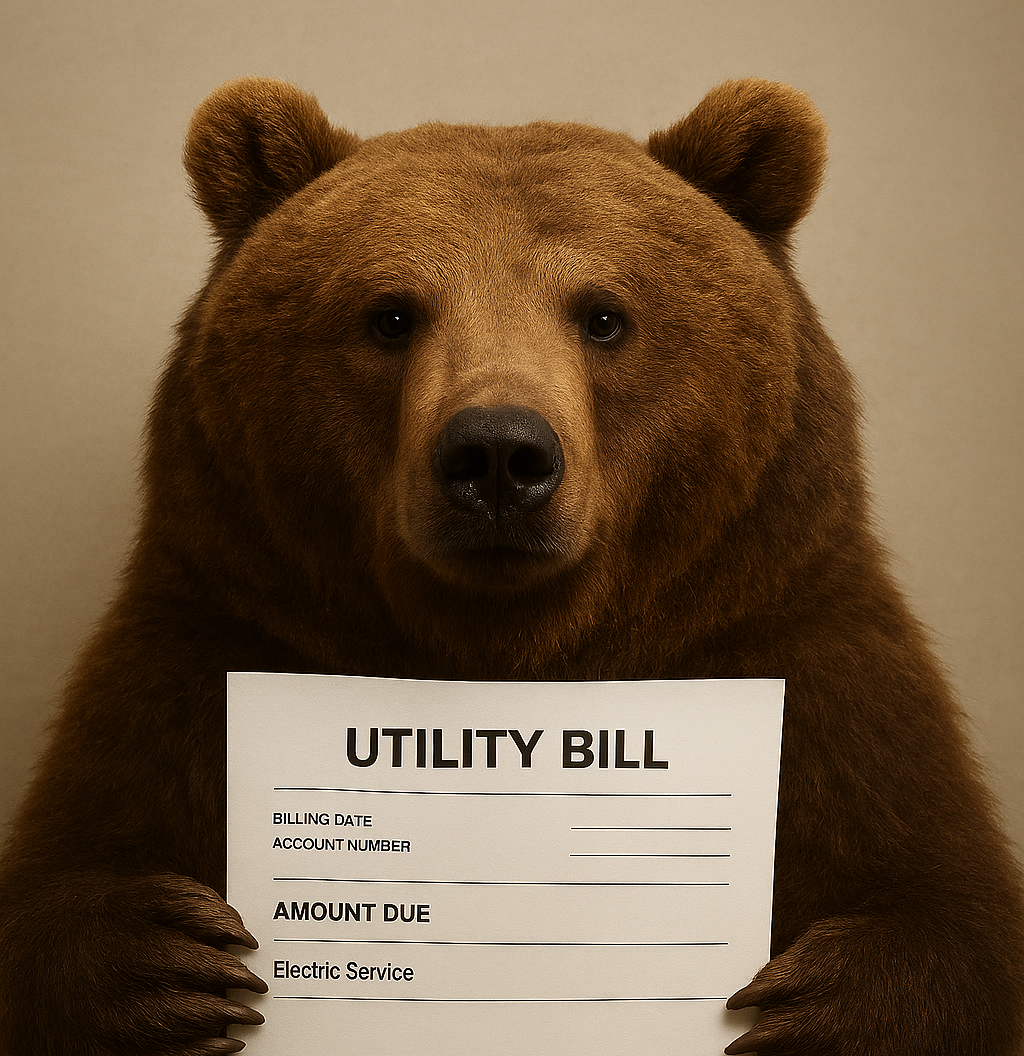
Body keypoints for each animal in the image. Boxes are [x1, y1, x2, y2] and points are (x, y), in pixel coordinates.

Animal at [0, 74, 1022, 1055]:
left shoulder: (803, 656)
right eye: (390, 314)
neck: (515, 644)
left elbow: (940, 901)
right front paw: (165, 964)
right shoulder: (209, 644)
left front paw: (820, 1003)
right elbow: (75, 865)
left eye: (604, 315)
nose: (498, 452)